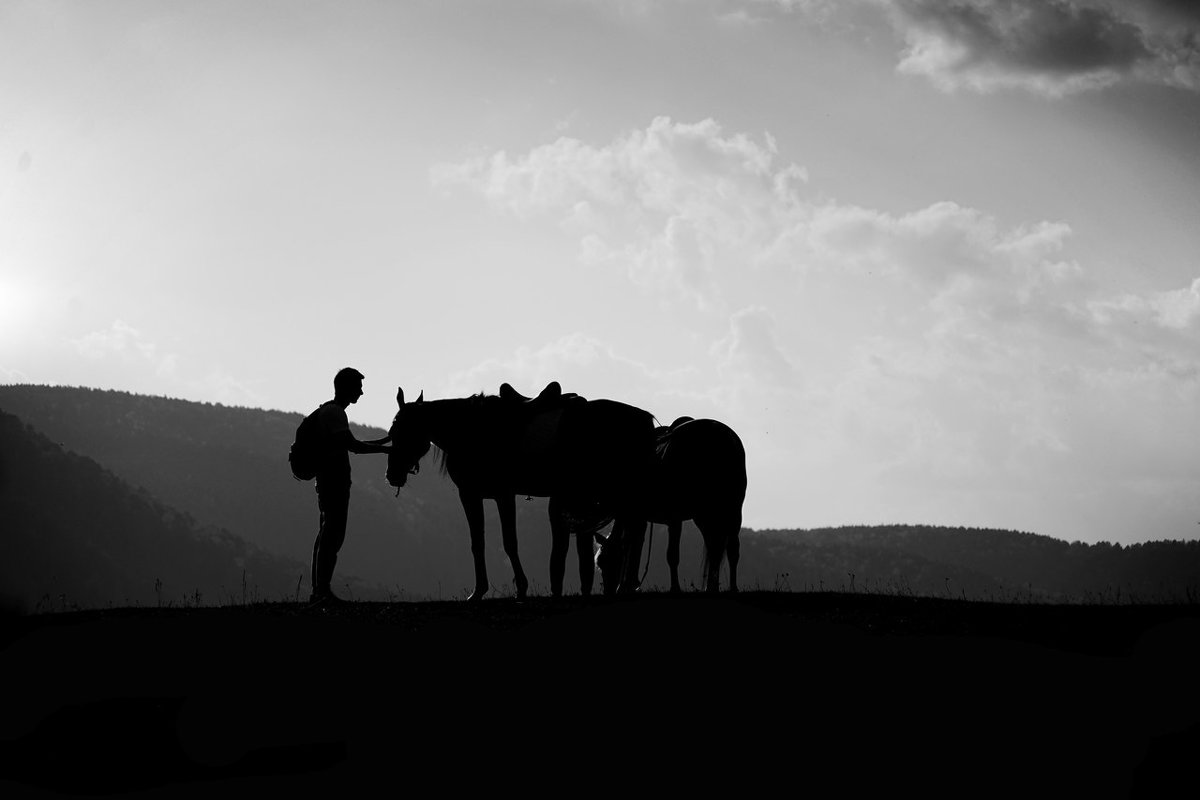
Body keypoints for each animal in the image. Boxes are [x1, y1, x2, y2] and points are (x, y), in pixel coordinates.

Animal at [386, 383, 657, 599]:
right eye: (391, 432)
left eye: (402, 432)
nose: (392, 475)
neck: (474, 429)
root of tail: (642, 417)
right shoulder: (482, 495)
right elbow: (482, 542)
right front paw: (485, 590)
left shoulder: (490, 494)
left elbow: (505, 543)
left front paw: (508, 589)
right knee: (634, 532)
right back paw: (626, 585)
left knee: (633, 533)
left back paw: (625, 586)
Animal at [595, 419, 744, 594]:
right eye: (600, 563)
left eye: (606, 562)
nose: (608, 591)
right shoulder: (643, 519)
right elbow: (637, 544)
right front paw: (631, 584)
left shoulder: (663, 519)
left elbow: (664, 553)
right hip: (719, 514)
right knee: (723, 549)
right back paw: (718, 588)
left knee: (721, 548)